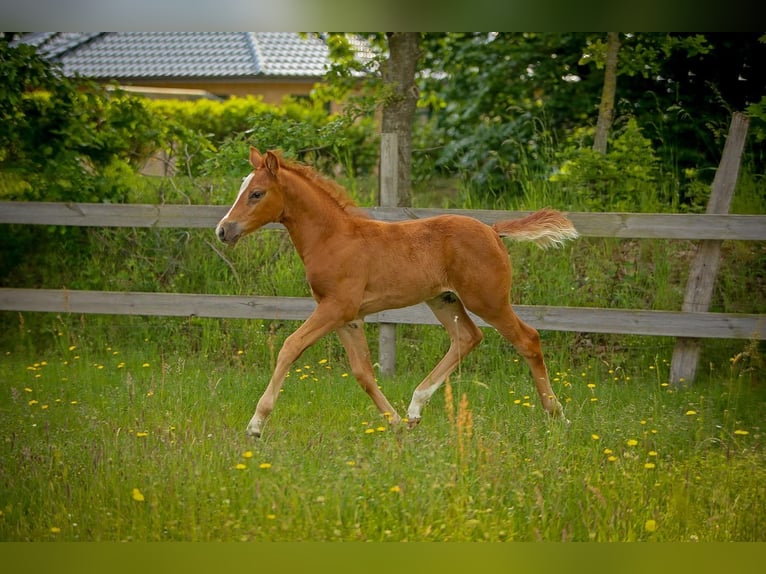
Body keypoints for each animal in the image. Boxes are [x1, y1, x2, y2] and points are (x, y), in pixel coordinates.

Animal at [216, 147, 579, 438]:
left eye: (256, 193)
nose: (223, 230)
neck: (333, 238)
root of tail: (492, 230)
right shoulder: (347, 317)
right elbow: (362, 372)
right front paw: (394, 424)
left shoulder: (335, 308)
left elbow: (290, 347)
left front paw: (256, 424)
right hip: (444, 299)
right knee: (467, 337)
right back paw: (415, 409)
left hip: (488, 300)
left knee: (528, 339)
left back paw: (557, 415)